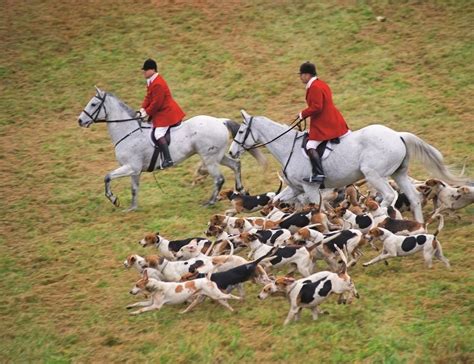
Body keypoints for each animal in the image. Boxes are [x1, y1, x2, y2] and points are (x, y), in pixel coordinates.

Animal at [76, 88, 264, 210]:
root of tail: (220, 121)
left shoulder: (131, 167)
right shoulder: (135, 170)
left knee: (219, 179)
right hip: (216, 156)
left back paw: (210, 202)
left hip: (210, 159)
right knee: (236, 165)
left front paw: (114, 199)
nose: (80, 121)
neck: (128, 131)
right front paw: (132, 208)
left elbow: (107, 177)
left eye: (93, 104)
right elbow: (134, 189)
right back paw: (240, 189)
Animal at [229, 109, 462, 222]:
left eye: (240, 131)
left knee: (389, 196)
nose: (231, 152)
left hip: (374, 175)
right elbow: (277, 201)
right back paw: (420, 228)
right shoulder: (295, 188)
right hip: (399, 174)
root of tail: (397, 135)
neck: (288, 147)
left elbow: (318, 209)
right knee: (413, 198)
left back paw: (377, 214)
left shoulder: (310, 188)